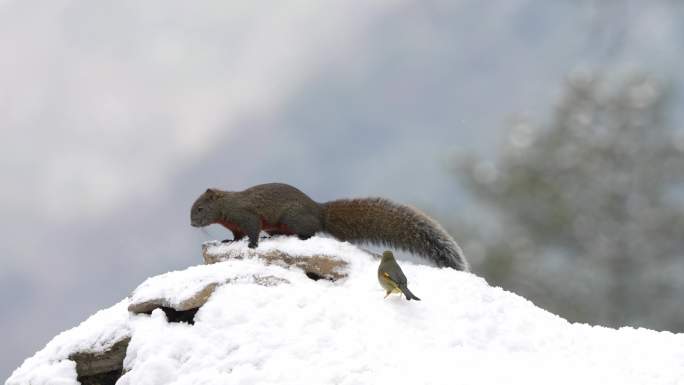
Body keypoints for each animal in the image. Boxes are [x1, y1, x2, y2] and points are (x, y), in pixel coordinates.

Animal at [192, 183, 470, 270]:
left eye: (200, 208)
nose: (192, 223)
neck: (226, 204)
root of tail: (319, 211)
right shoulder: (235, 224)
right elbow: (236, 234)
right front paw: (230, 241)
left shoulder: (246, 215)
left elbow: (251, 230)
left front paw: (251, 244)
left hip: (294, 218)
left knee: (309, 231)